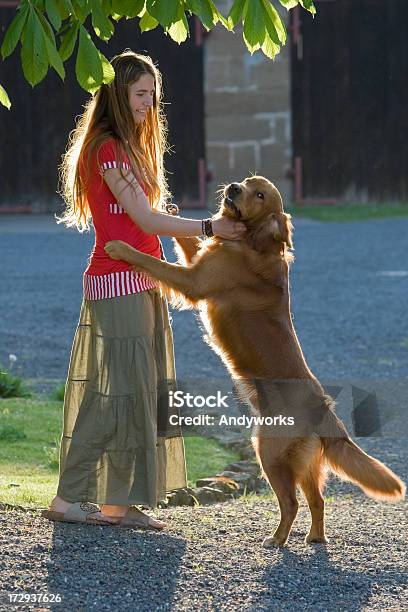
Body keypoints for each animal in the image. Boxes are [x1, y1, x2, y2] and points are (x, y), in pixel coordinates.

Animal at [104, 176, 404, 544]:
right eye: (248, 182)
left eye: (259, 194)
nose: (233, 186)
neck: (251, 240)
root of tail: (324, 408)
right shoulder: (198, 266)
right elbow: (188, 239)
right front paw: (171, 212)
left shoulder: (194, 281)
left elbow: (156, 263)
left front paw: (120, 249)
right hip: (303, 462)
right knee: (317, 500)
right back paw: (314, 537)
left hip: (268, 452)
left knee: (291, 502)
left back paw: (277, 539)